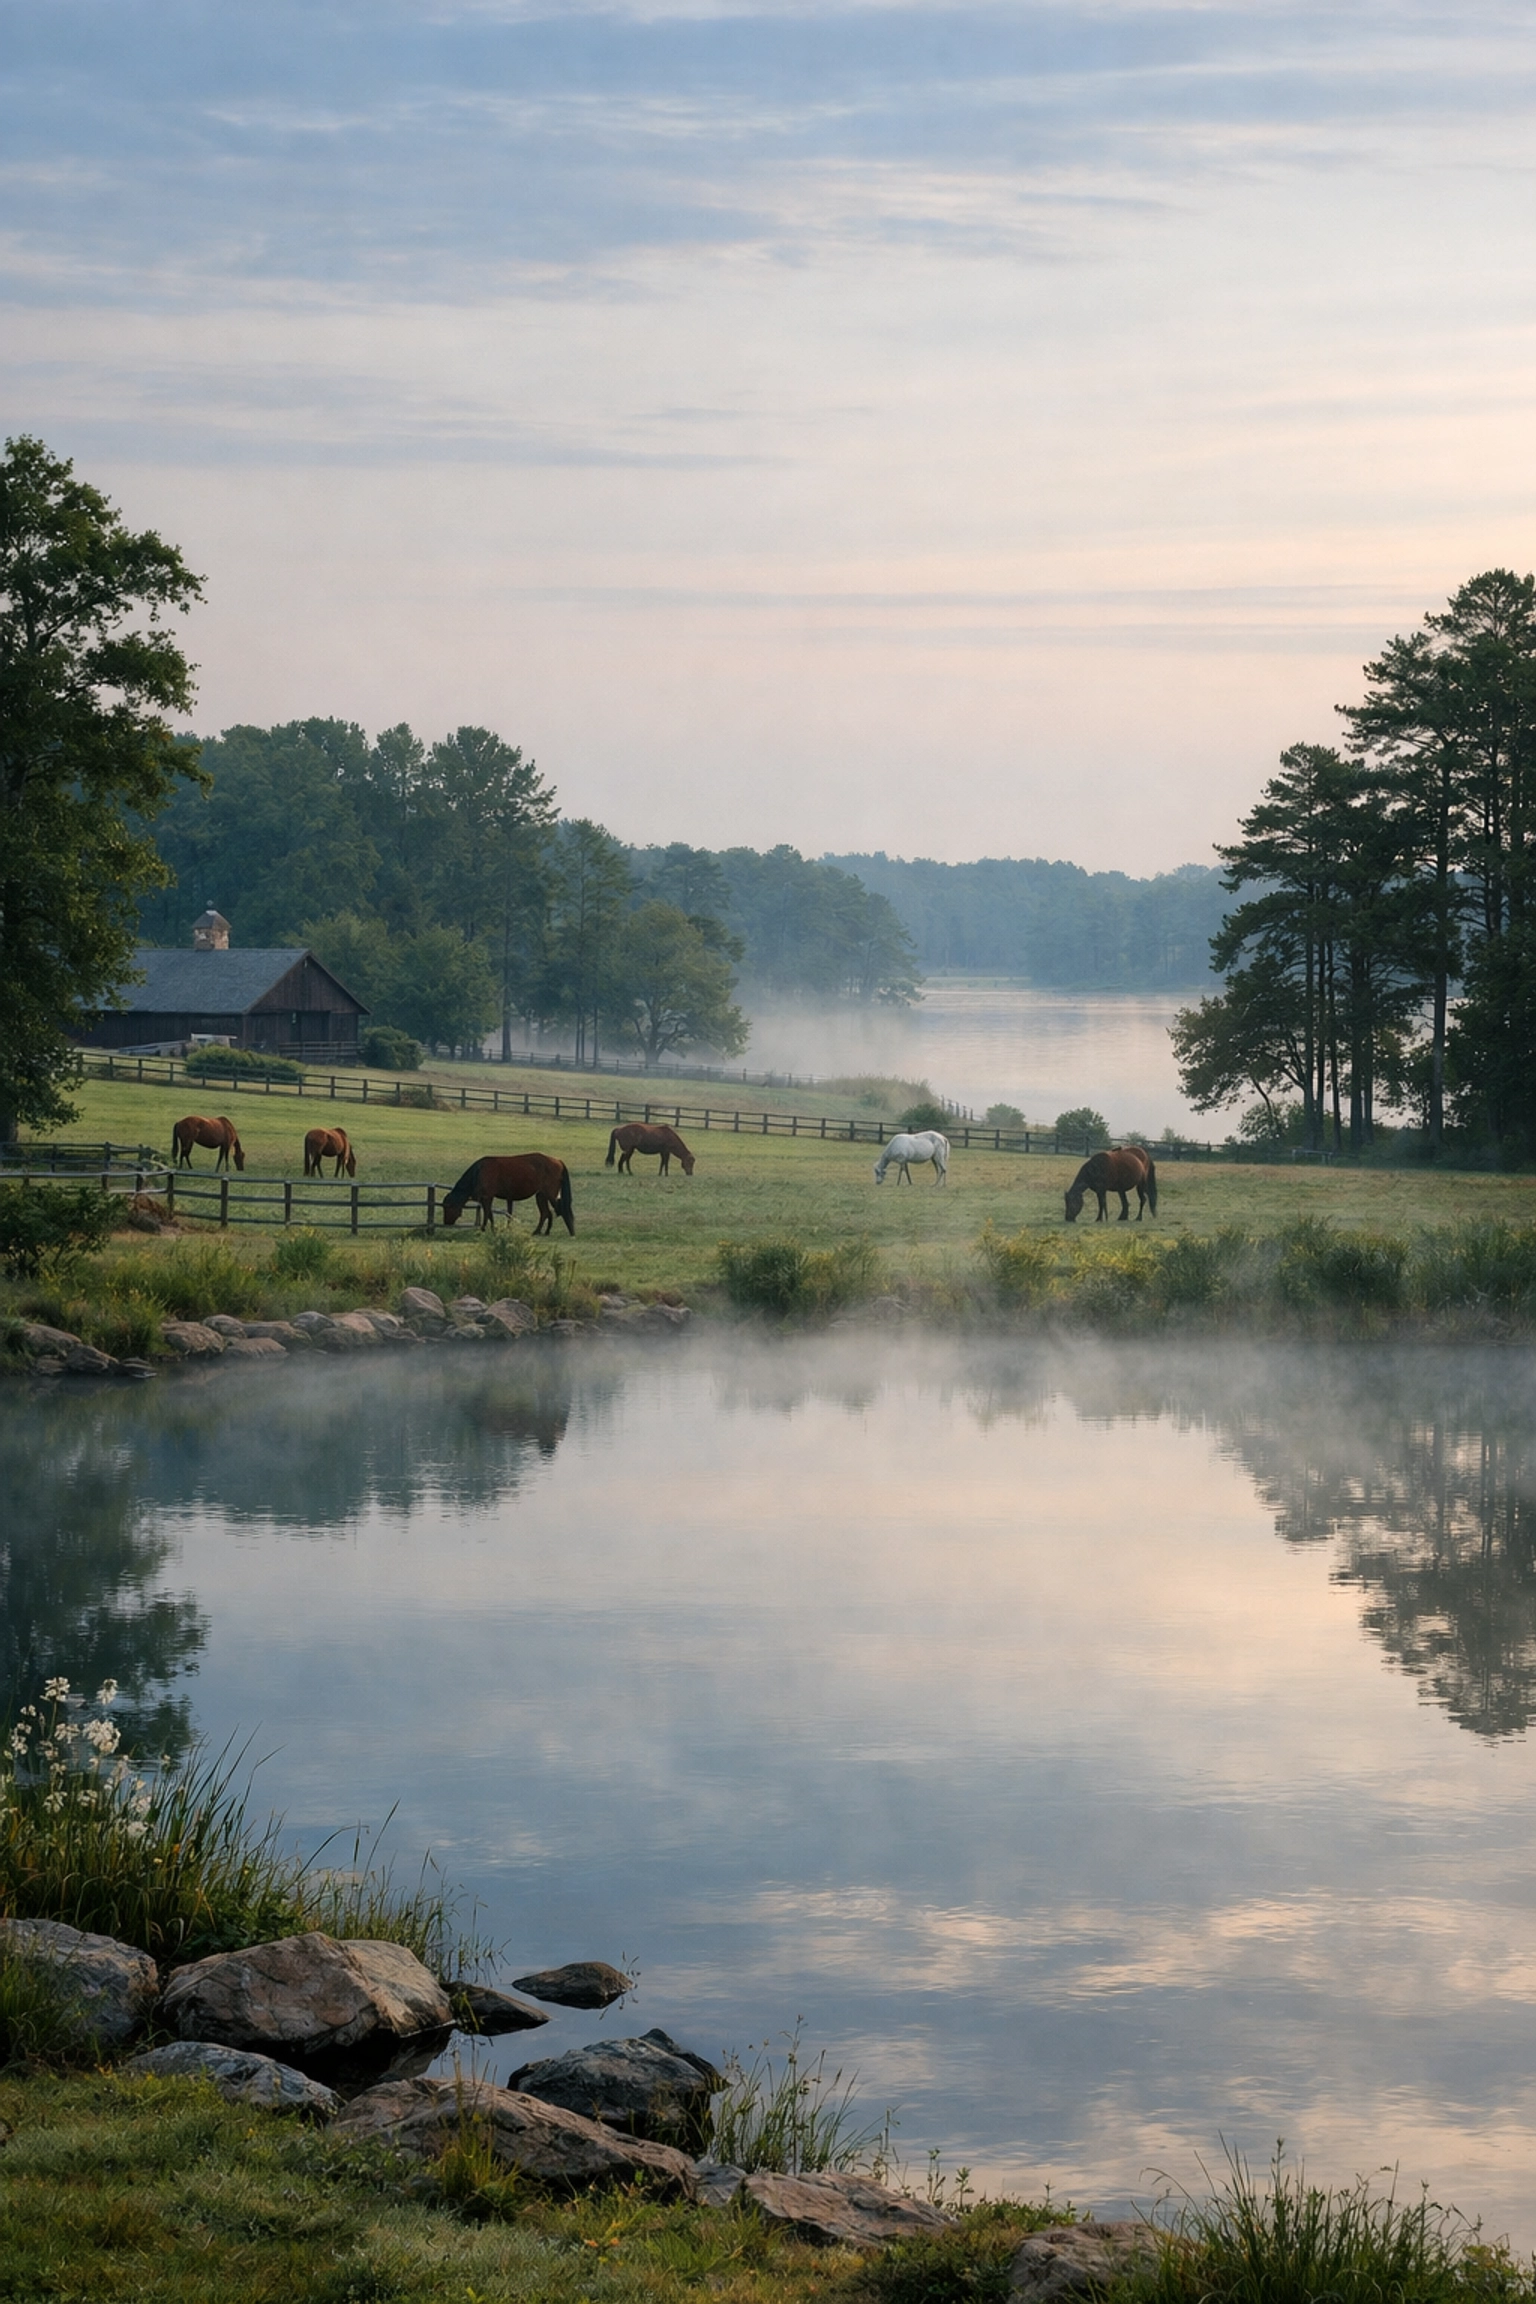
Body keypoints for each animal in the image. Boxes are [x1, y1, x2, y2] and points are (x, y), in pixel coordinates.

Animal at [443, 1154, 575, 1236]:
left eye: (447, 1207)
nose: (446, 1223)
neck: (478, 1173)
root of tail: (558, 1161)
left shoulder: (487, 1197)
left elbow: (487, 1214)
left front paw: (485, 1229)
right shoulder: (488, 1198)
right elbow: (490, 1214)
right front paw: (491, 1229)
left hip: (551, 1195)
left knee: (562, 1210)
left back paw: (571, 1231)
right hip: (541, 1195)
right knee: (546, 1213)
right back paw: (541, 1231)